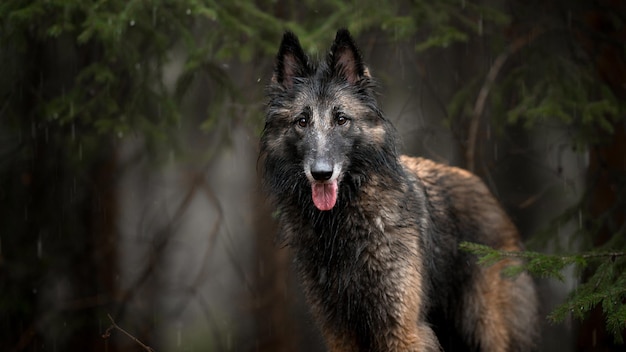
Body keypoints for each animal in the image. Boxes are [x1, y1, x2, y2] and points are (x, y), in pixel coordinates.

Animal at [258, 28, 536, 352]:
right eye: (302, 121)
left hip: (482, 328)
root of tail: (484, 190)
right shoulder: (341, 332)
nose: (321, 173)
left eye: (341, 119)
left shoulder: (402, 329)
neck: (340, 224)